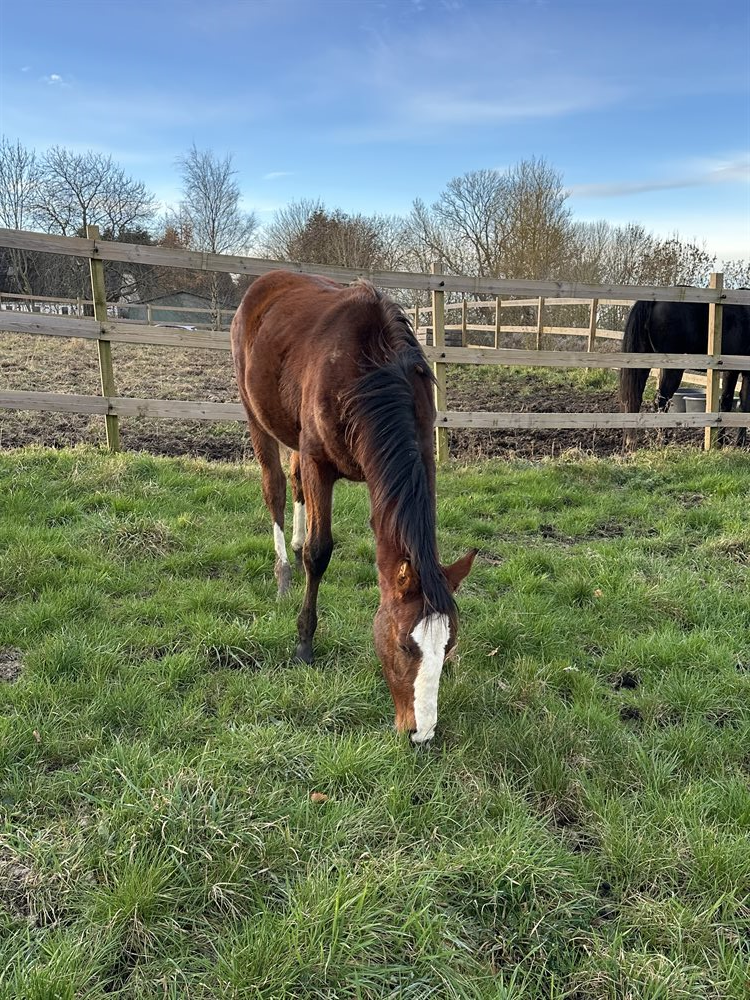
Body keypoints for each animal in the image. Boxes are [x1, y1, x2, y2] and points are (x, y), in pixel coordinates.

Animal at [231, 270, 476, 743]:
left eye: (449, 644)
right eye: (403, 644)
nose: (421, 734)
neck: (369, 376)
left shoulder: (422, 456)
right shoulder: (319, 462)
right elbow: (320, 552)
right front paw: (304, 643)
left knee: (295, 485)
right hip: (255, 414)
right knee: (275, 488)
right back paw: (283, 569)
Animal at [619, 299, 750, 448]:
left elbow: (740, 403)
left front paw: (732, 442)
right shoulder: (733, 370)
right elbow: (731, 403)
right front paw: (725, 442)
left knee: (636, 399)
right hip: (672, 370)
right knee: (661, 401)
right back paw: (662, 441)